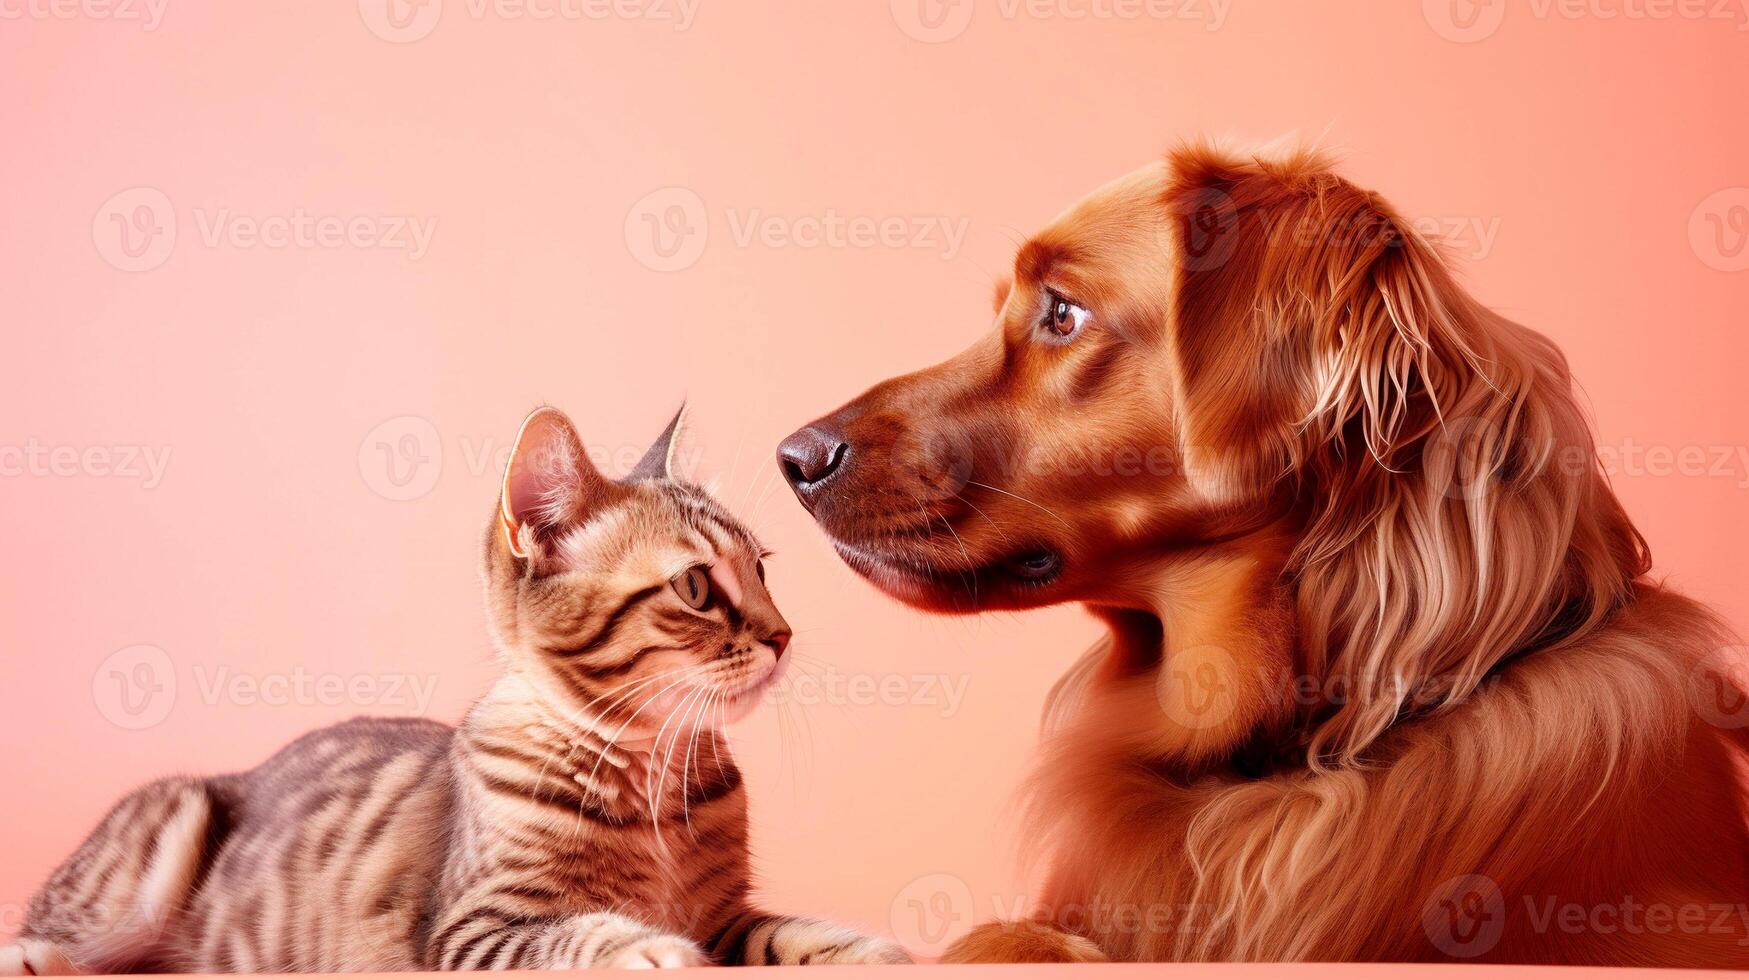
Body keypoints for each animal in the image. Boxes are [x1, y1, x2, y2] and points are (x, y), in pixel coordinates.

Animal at [10, 406, 916, 973]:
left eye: (762, 570)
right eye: (696, 586)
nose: (782, 635)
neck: (653, 777)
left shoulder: (727, 913)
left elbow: (786, 929)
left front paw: (866, 946)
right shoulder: (470, 928)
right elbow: (570, 934)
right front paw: (640, 942)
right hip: (165, 826)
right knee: (48, 927)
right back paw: (40, 956)